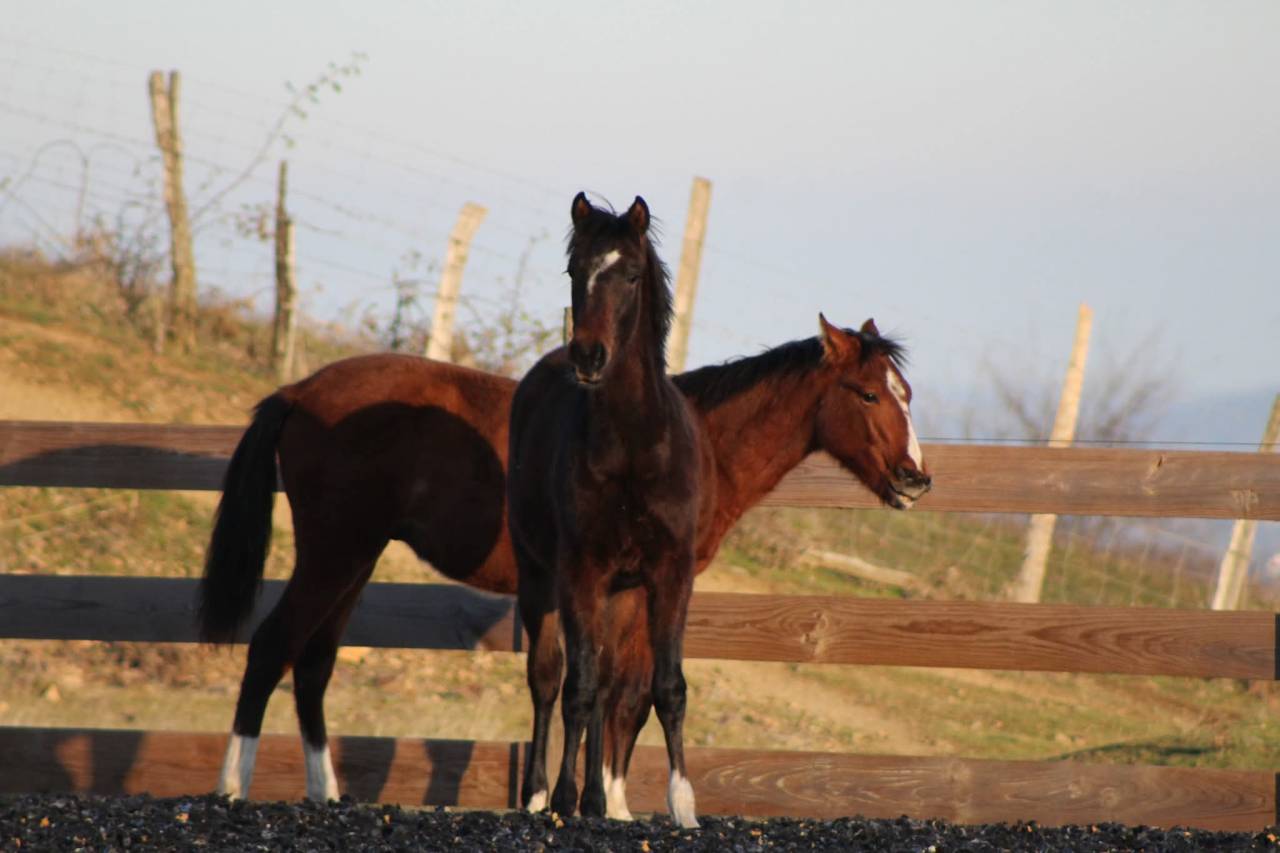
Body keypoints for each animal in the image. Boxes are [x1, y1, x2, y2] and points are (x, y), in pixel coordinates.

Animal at [198, 312, 930, 811]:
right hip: (334, 551)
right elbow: (623, 693)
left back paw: (325, 793)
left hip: (356, 557)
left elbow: (609, 690)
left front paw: (594, 802)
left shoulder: (624, 590)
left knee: (314, 663)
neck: (688, 438)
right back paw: (232, 787)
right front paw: (601, 805)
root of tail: (299, 390)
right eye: (869, 394)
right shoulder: (646, 586)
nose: (916, 477)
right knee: (272, 647)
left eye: (907, 392)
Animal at [506, 193, 711, 826]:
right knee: (550, 680)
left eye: (632, 274)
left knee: (607, 681)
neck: (634, 448)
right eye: (576, 271)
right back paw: (541, 796)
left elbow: (666, 688)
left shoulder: (669, 574)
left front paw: (683, 804)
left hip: (621, 596)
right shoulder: (580, 572)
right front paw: (562, 802)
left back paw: (596, 800)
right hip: (541, 577)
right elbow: (576, 688)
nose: (590, 356)